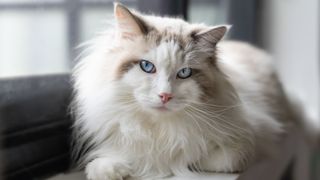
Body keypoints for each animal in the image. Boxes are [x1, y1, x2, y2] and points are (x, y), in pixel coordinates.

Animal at [71, 2, 294, 180]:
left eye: (185, 73)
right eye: (147, 66)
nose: (165, 96)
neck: (160, 130)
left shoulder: (248, 143)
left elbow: (201, 157)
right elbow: (105, 162)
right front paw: (115, 171)